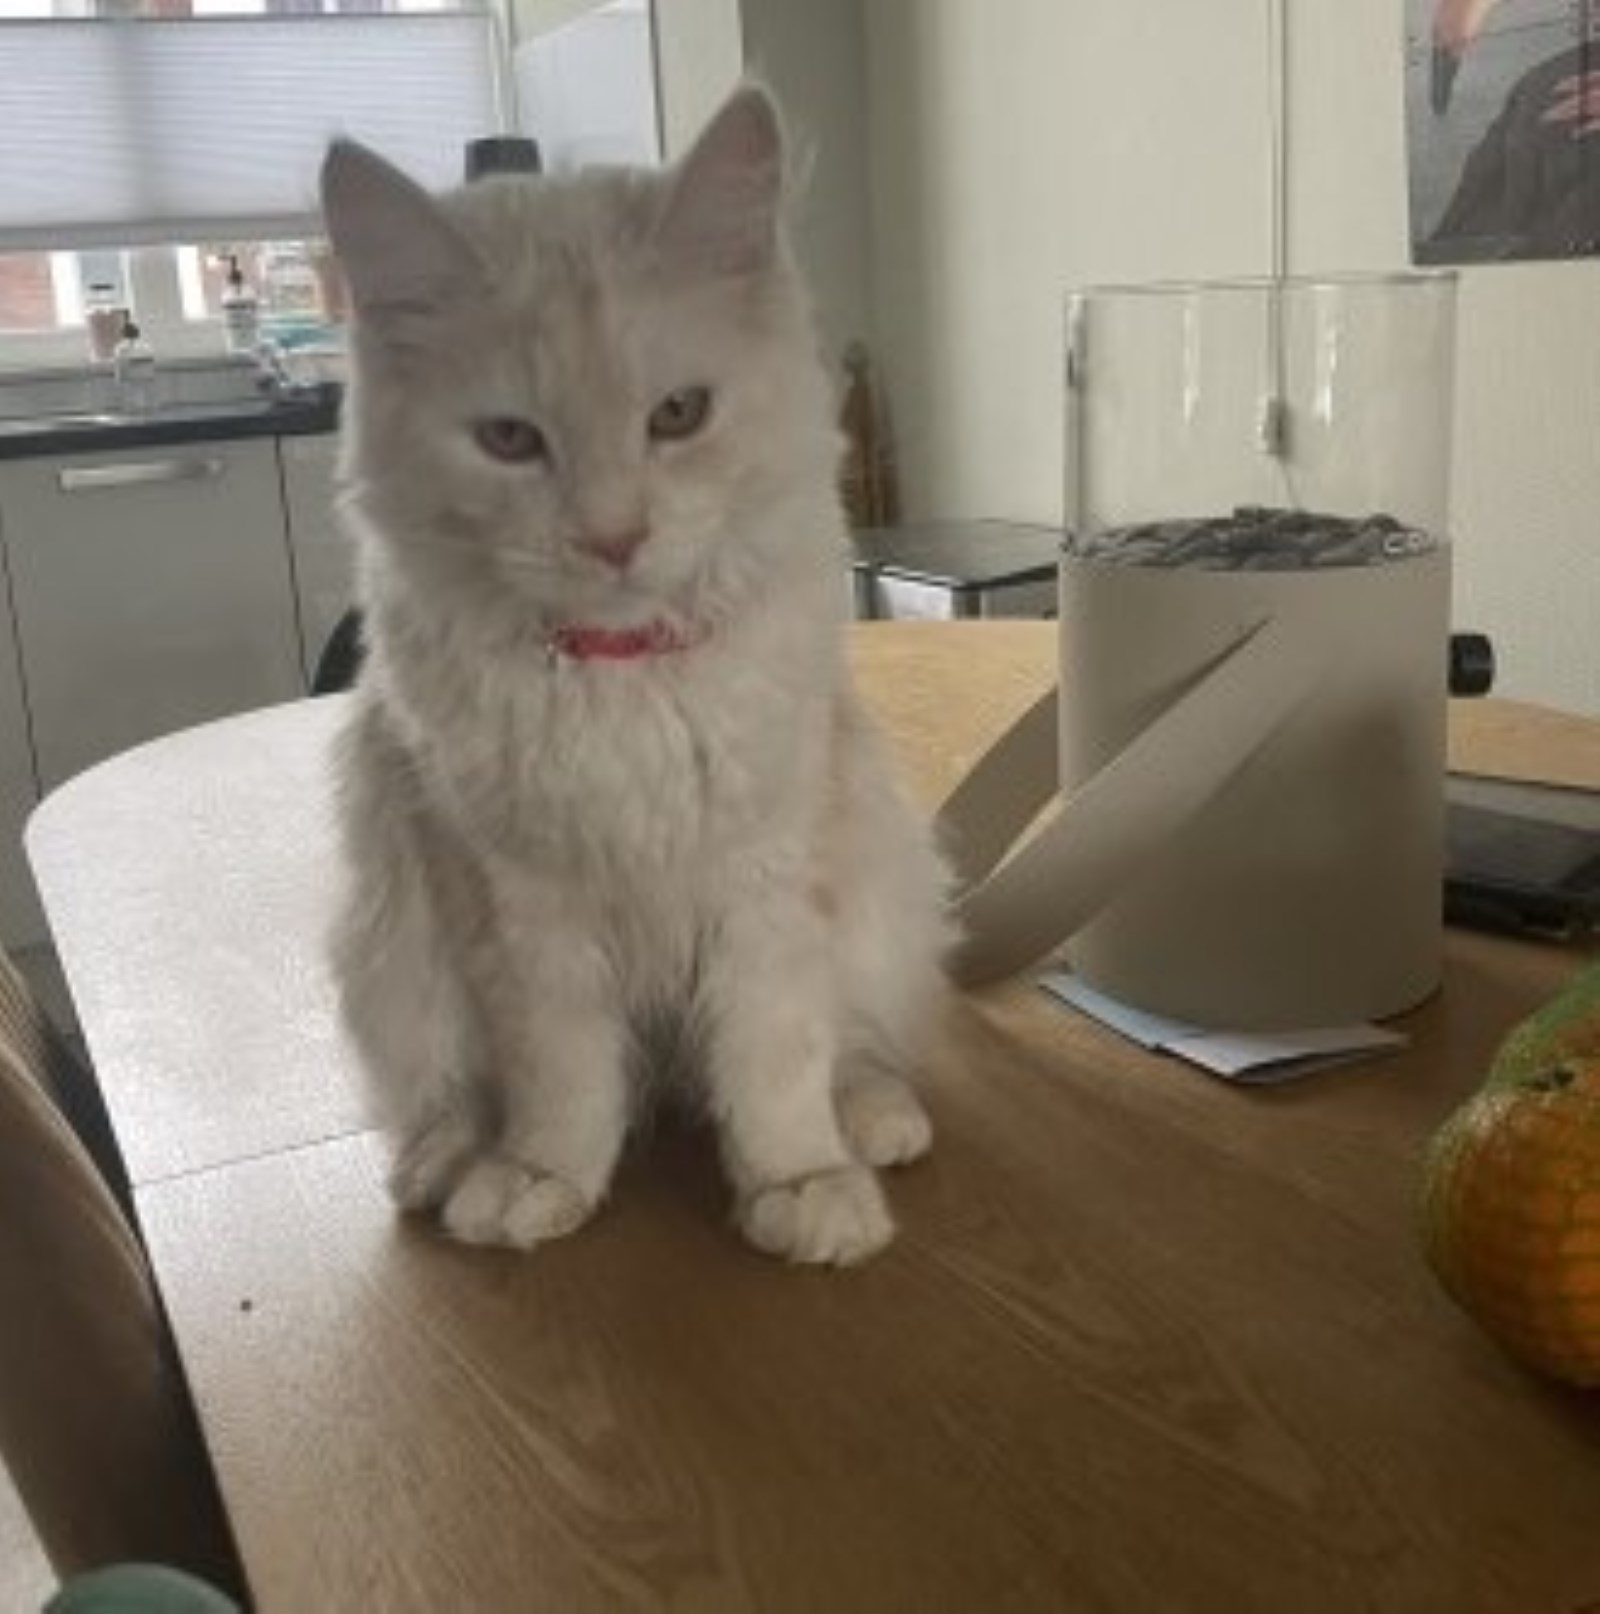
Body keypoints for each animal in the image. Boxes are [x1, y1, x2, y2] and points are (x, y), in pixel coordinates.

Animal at [321, 85, 952, 1267]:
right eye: (509, 439)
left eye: (677, 415)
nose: (613, 538)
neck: (621, 680)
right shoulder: (516, 906)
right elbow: (560, 1076)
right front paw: (542, 1179)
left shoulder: (766, 876)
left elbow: (775, 1053)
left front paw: (798, 1181)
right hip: (393, 955)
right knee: (452, 1095)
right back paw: (445, 1164)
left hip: (884, 887)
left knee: (855, 1043)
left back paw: (873, 1122)